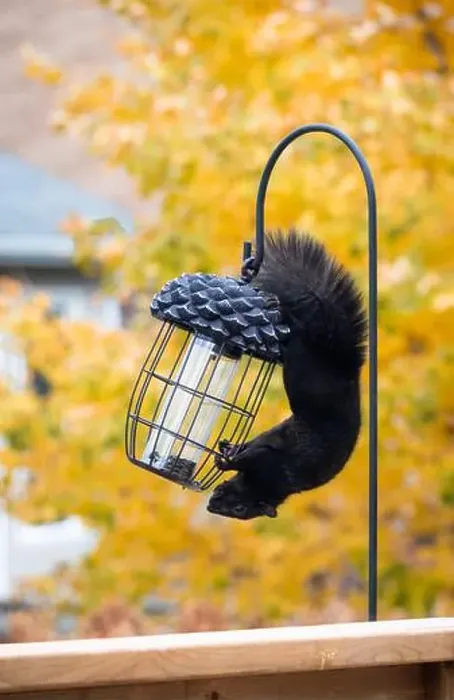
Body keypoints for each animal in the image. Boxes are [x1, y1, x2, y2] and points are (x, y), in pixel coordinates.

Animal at [206, 229, 367, 521]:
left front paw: (227, 459)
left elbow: (254, 454)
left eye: (239, 510)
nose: (212, 506)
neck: (271, 489)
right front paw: (227, 452)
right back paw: (277, 305)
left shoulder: (270, 465)